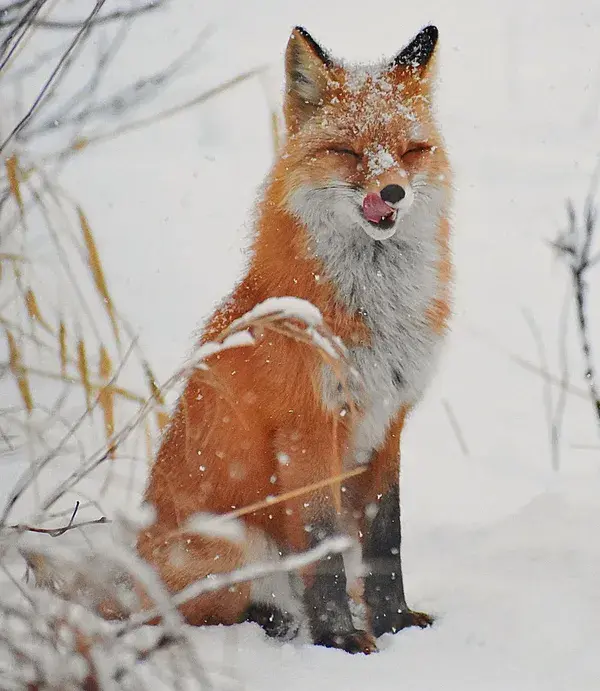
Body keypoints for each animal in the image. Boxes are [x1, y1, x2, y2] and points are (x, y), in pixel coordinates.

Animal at [135, 24, 450, 656]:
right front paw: (342, 639)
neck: (372, 316)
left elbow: (386, 539)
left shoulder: (388, 421)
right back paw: (280, 623)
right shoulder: (307, 428)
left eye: (411, 151)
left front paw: (395, 623)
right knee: (196, 618)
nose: (393, 193)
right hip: (233, 548)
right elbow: (323, 545)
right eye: (348, 152)